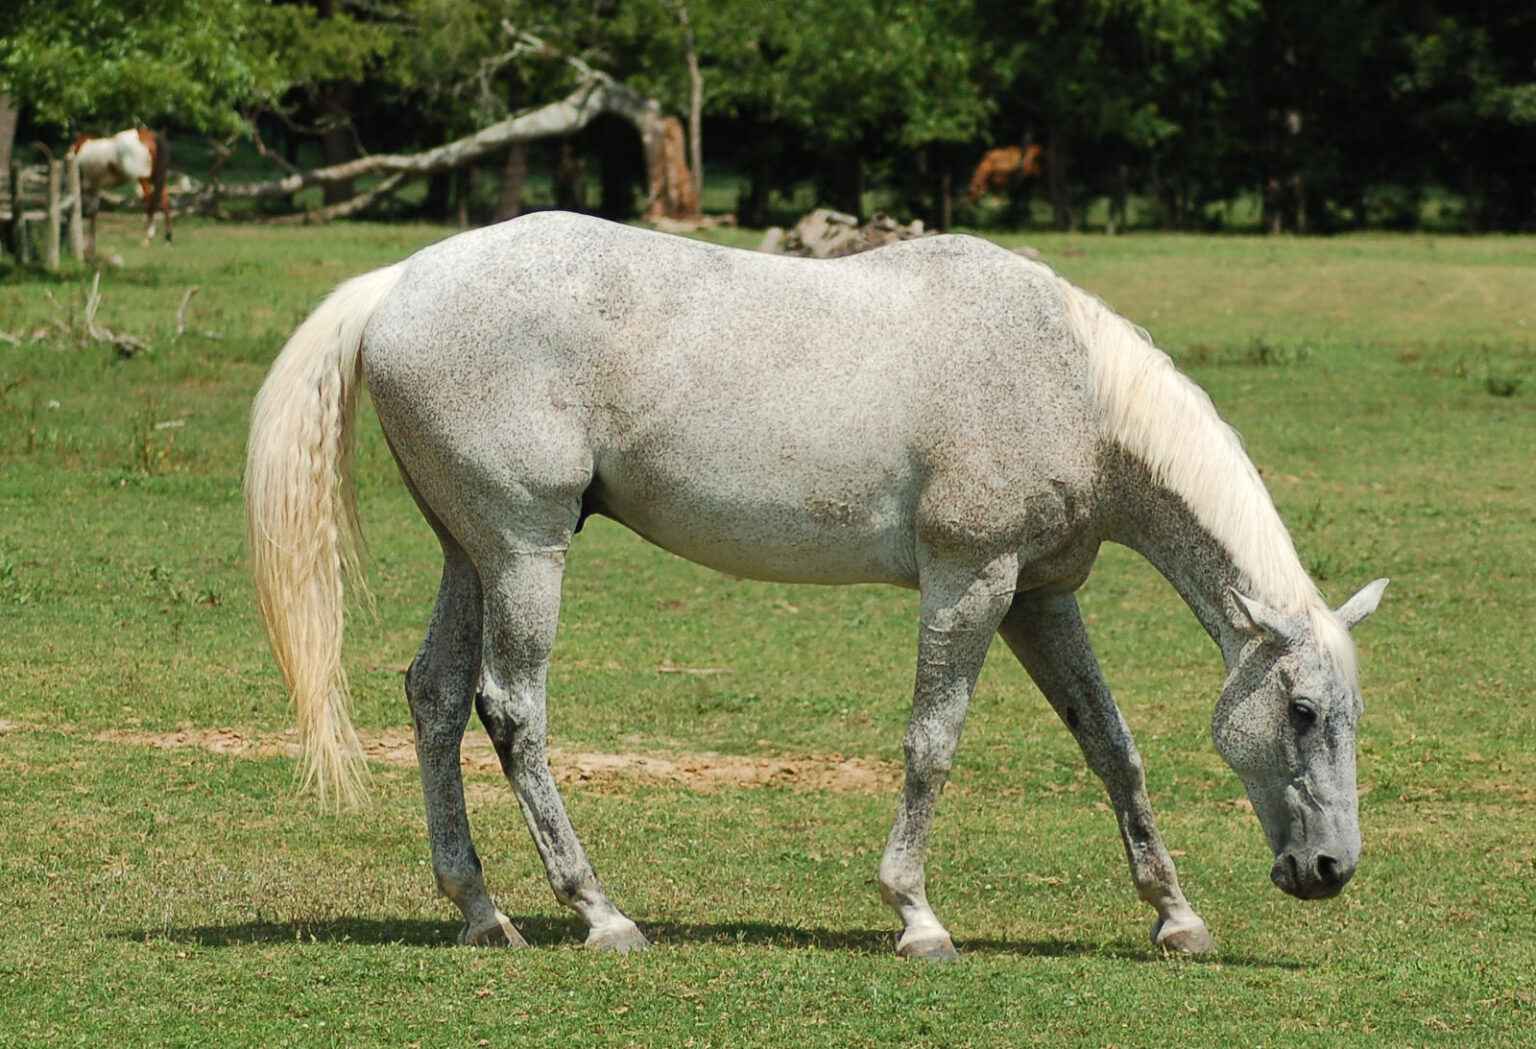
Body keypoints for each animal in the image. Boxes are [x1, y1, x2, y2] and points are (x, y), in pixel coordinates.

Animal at [245, 213, 1388, 958]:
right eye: (1301, 710)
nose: (1332, 869)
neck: (1065, 377)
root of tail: (401, 279)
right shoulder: (970, 581)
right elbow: (933, 743)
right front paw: (916, 915)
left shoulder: (1040, 596)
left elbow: (1112, 745)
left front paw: (1175, 913)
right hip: (526, 555)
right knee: (510, 708)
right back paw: (600, 913)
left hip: (469, 554)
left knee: (436, 697)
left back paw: (484, 912)